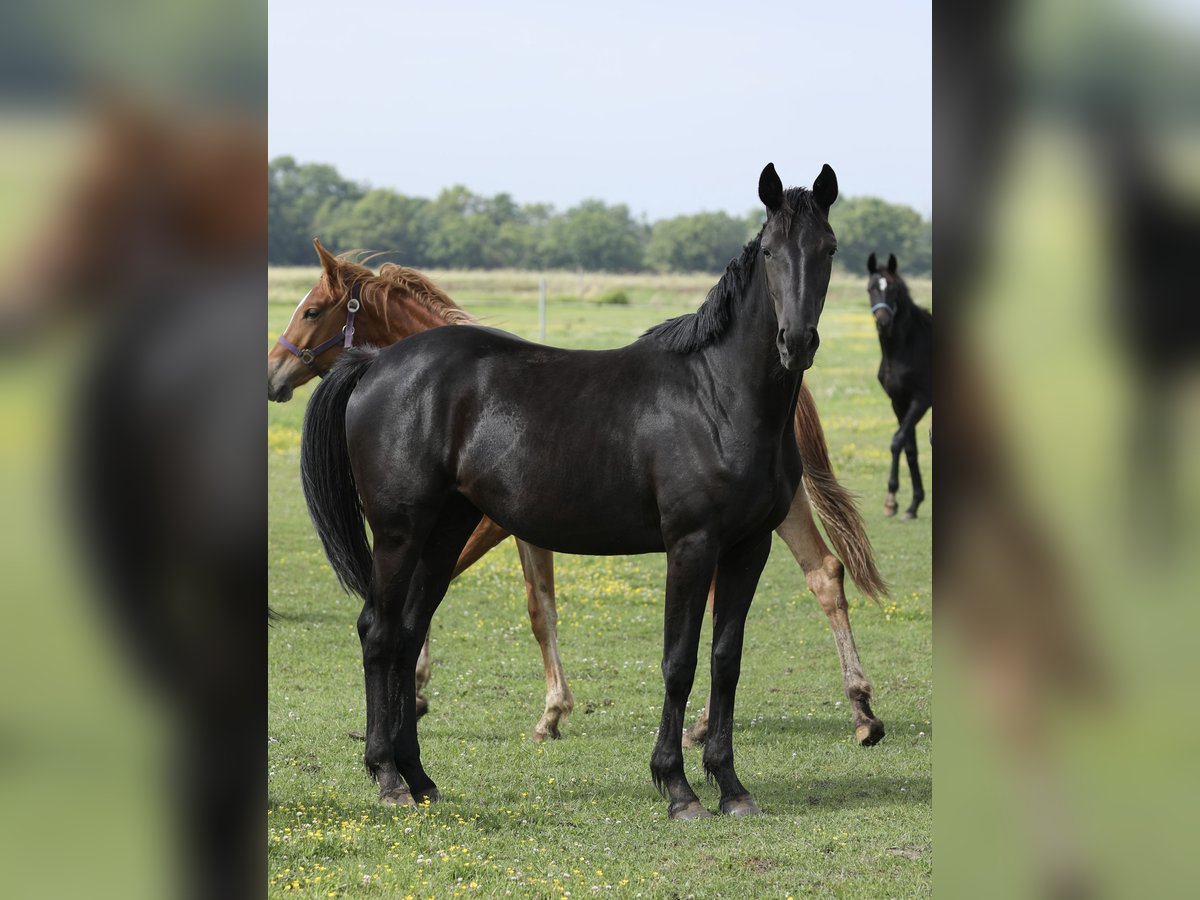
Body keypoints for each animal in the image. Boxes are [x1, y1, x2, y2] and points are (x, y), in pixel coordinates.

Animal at [304, 160, 840, 816]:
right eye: (768, 251)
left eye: (828, 248)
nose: (797, 342)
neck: (717, 397)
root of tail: (375, 365)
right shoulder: (691, 545)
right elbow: (679, 661)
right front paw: (677, 785)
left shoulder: (748, 547)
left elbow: (726, 661)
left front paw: (731, 786)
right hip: (400, 533)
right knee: (378, 633)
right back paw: (386, 777)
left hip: (445, 531)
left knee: (405, 635)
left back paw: (420, 777)